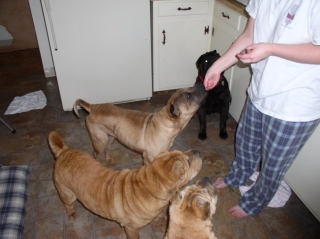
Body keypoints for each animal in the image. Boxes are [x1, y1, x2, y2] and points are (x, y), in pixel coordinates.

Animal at [48, 131, 202, 239]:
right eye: (188, 161)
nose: (198, 151)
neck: (150, 184)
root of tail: (64, 151)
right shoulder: (131, 228)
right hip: (67, 193)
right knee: (68, 204)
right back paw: (71, 213)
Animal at [73, 82, 206, 164]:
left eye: (189, 88)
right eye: (188, 96)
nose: (201, 84)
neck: (166, 123)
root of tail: (93, 107)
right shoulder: (148, 160)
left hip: (110, 138)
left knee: (107, 150)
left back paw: (109, 160)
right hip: (100, 140)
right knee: (95, 154)